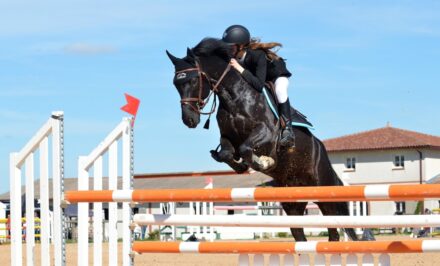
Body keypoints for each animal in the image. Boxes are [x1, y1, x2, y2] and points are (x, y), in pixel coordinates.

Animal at [167, 38, 360, 241]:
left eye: (194, 79)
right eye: (176, 84)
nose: (189, 120)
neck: (235, 96)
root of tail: (321, 149)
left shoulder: (266, 133)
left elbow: (246, 148)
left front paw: (265, 162)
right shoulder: (228, 138)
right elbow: (227, 154)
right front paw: (242, 166)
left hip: (323, 190)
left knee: (334, 228)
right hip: (292, 201)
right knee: (301, 234)